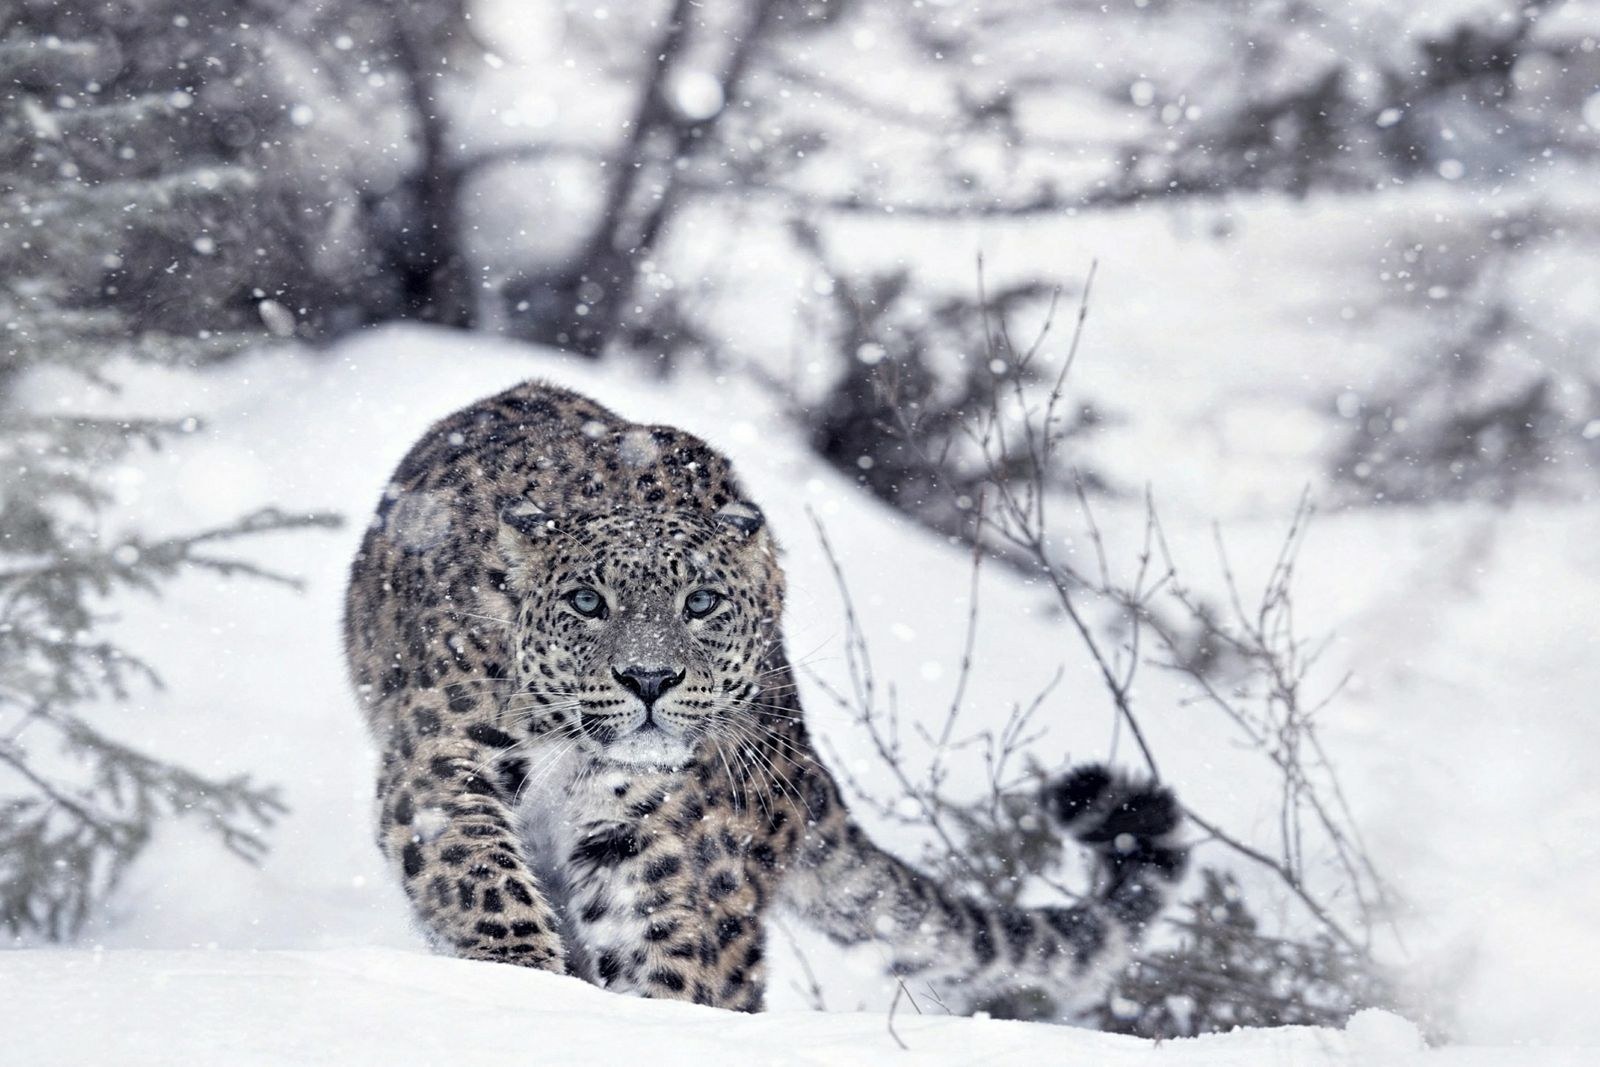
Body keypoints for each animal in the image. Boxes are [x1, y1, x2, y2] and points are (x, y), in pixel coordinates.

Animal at [343, 379, 1187, 1017]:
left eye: (702, 602)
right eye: (587, 601)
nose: (649, 679)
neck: (570, 752)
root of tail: (802, 760)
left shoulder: (648, 832)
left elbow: (667, 952)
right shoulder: (442, 760)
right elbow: (479, 872)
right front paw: (520, 972)